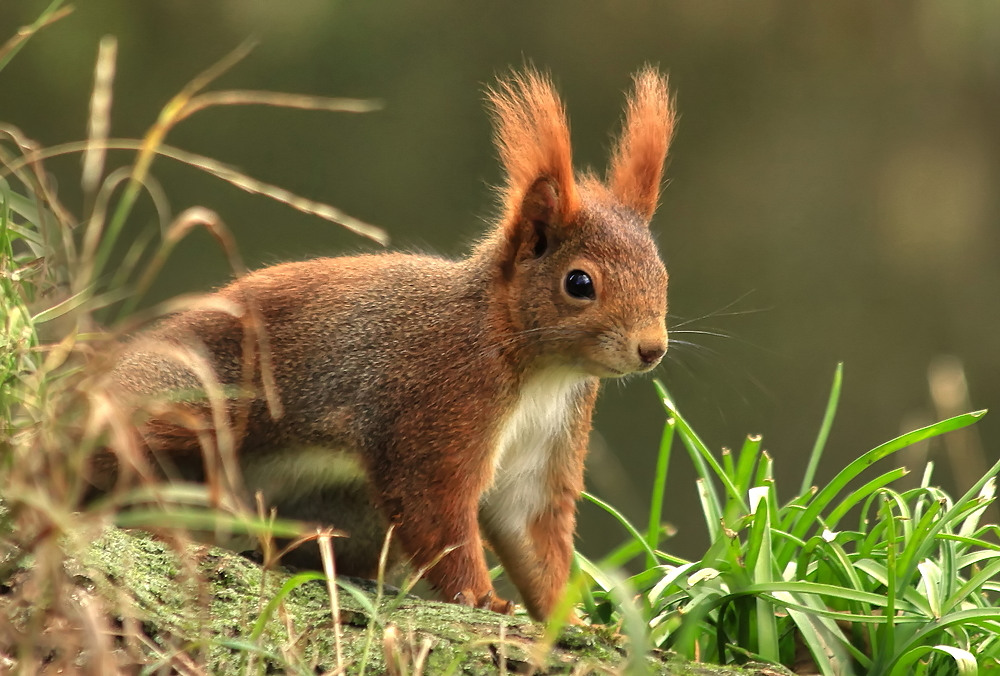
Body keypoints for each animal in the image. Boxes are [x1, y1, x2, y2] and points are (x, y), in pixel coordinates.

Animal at [105, 68, 672, 624]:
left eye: (663, 273)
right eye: (579, 283)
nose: (653, 350)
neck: (540, 369)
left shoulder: (547, 441)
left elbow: (532, 535)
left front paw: (572, 623)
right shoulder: (438, 401)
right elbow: (435, 511)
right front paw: (482, 598)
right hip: (190, 401)